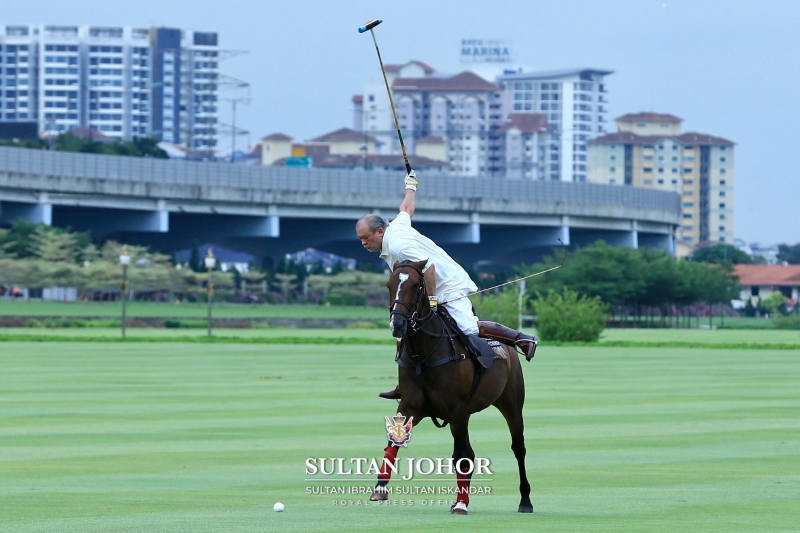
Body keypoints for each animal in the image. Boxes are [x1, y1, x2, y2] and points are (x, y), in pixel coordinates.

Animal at [370, 260, 536, 512]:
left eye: (416, 285)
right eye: (389, 285)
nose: (397, 324)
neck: (423, 355)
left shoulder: (457, 411)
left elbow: (461, 456)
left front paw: (460, 503)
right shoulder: (409, 407)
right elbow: (393, 442)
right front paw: (380, 488)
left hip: (511, 403)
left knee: (518, 447)